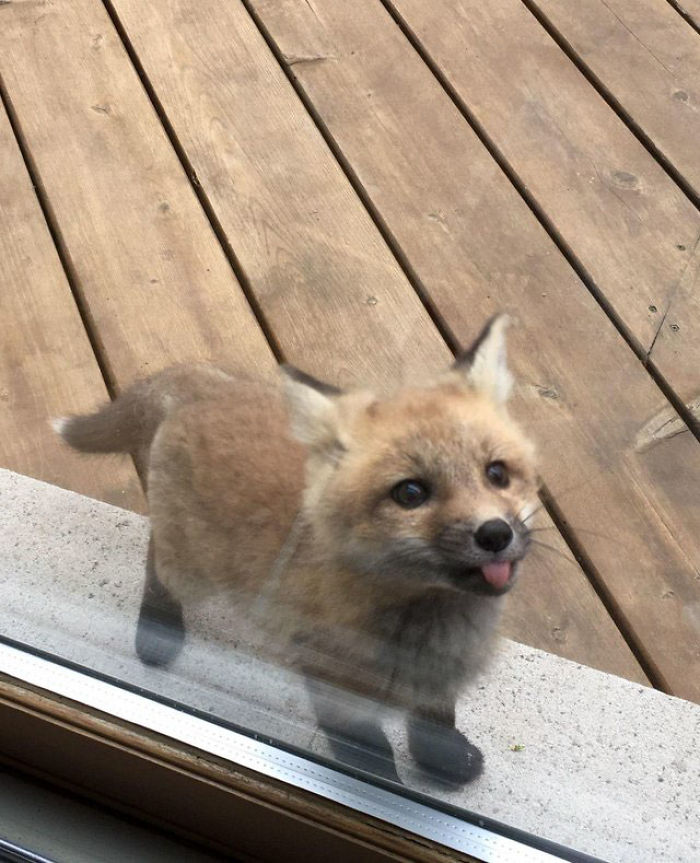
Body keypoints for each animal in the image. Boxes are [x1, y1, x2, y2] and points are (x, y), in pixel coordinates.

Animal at [55, 314, 538, 786]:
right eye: (411, 493)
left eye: (497, 473)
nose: (494, 534)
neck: (428, 626)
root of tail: (205, 386)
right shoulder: (332, 683)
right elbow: (371, 757)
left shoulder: (440, 679)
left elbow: (435, 722)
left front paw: (444, 760)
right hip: (192, 569)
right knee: (157, 562)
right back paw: (158, 630)